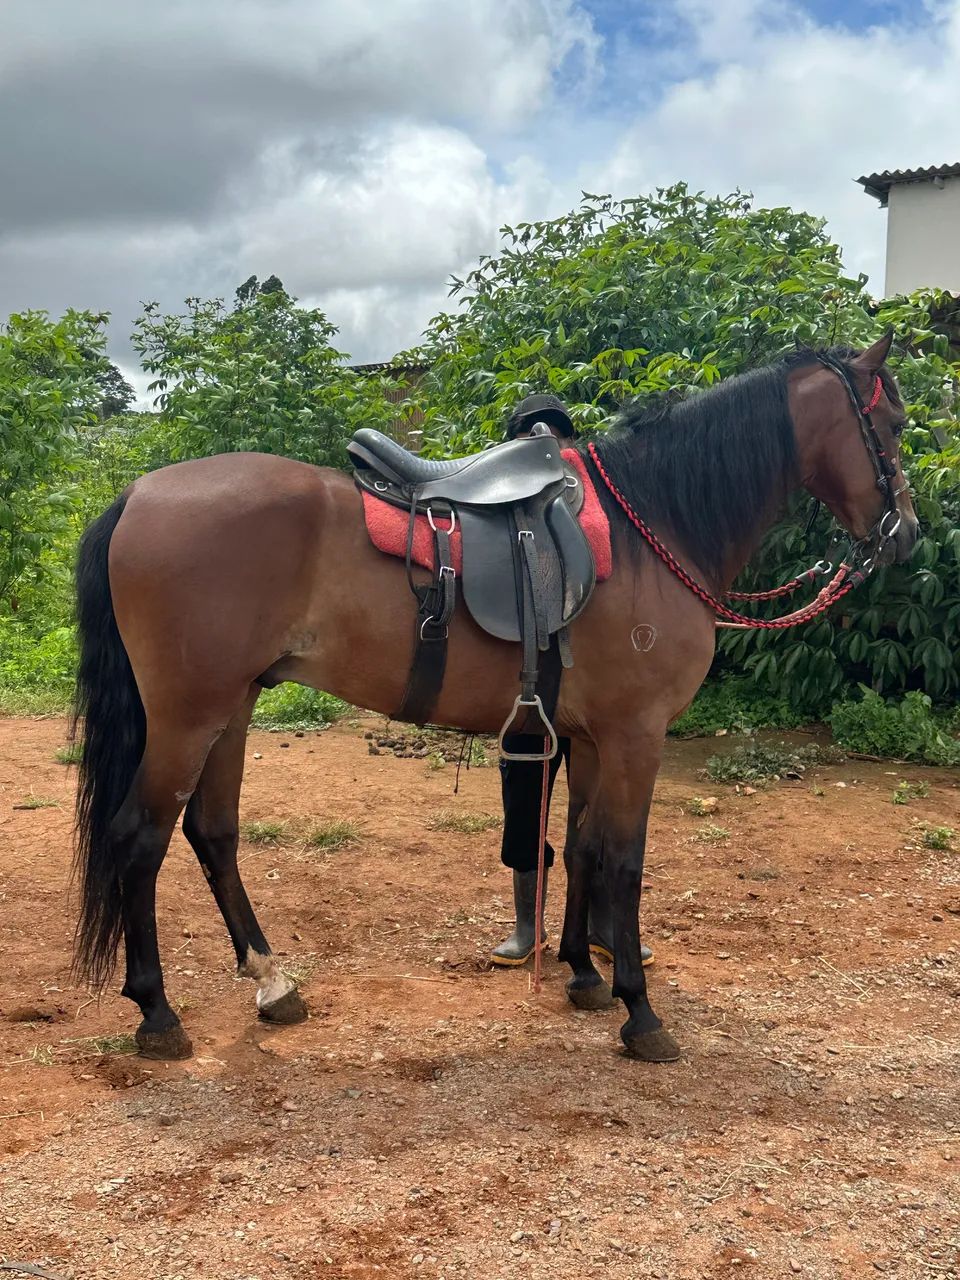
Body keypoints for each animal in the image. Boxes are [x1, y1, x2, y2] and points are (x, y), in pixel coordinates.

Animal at [70, 333, 917, 1063]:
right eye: (892, 423)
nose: (905, 532)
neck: (655, 525)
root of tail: (137, 494)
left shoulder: (590, 737)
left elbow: (578, 847)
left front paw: (582, 973)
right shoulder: (637, 734)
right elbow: (624, 860)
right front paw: (639, 1010)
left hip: (234, 706)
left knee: (212, 834)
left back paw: (272, 983)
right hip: (189, 716)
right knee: (140, 839)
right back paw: (157, 1012)